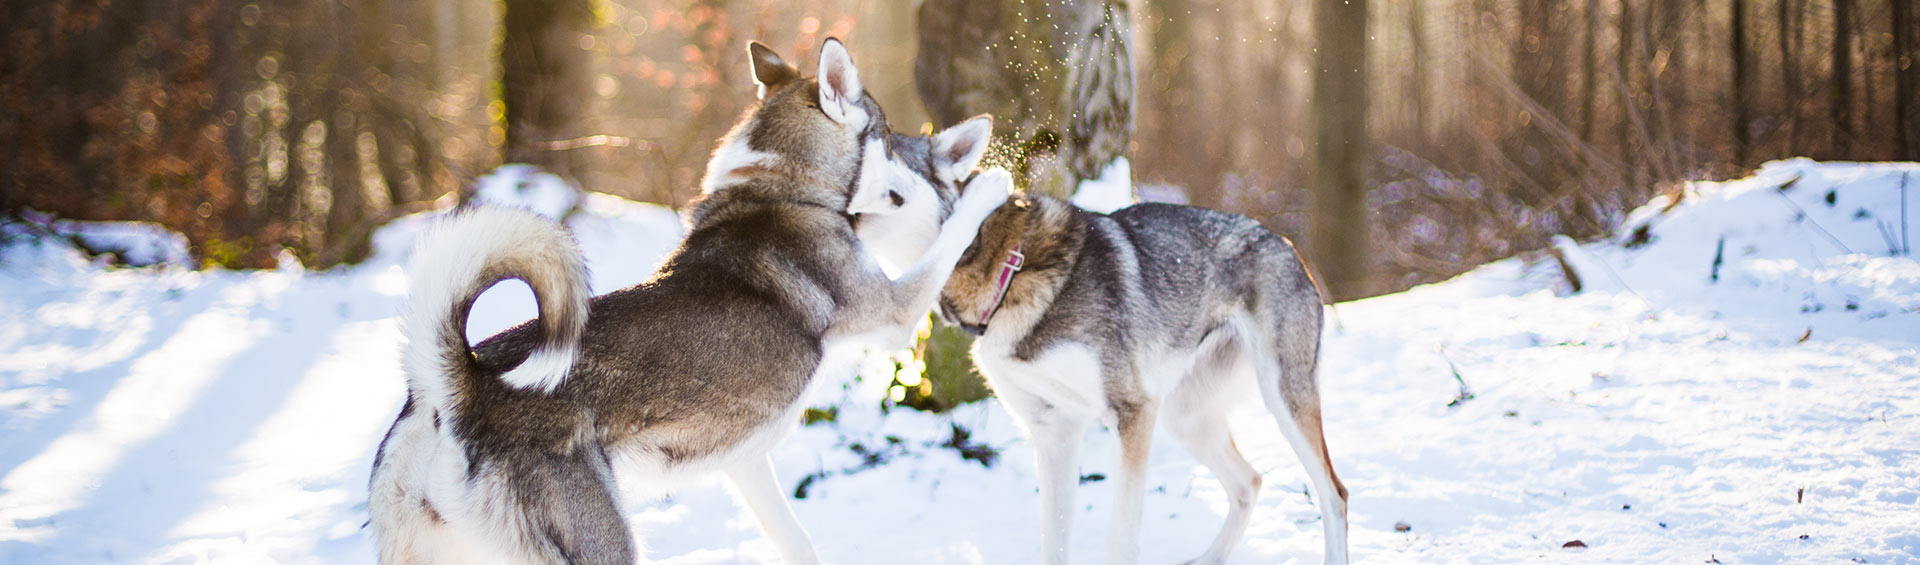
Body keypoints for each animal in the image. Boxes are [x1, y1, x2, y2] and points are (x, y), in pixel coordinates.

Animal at [364, 39, 1013, 565]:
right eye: (887, 139)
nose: (913, 153)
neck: (782, 186)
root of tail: (452, 389)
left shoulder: (745, 464)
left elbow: (796, 539)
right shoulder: (896, 313)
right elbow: (943, 248)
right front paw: (987, 189)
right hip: (601, 542)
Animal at [848, 138, 1359, 565]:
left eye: (884, 149)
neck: (1008, 268)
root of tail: (1287, 245)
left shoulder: (1132, 412)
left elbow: (1121, 539)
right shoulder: (1054, 432)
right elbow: (1053, 543)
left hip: (1281, 399)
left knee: (1334, 494)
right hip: (1184, 418)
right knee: (1249, 483)